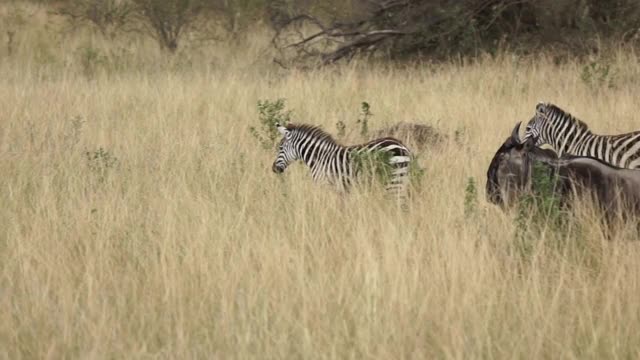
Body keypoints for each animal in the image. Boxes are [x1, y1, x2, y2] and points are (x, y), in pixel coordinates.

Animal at [272, 123, 416, 201]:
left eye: (280, 148)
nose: (274, 169)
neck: (319, 157)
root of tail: (401, 145)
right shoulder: (341, 189)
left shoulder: (325, 185)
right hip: (400, 179)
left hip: (393, 181)